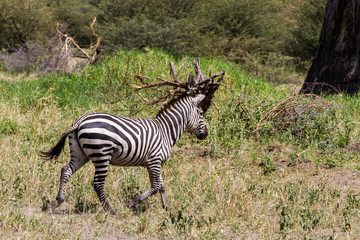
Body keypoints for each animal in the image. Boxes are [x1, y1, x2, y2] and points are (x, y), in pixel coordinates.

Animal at [38, 93, 208, 214]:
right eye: (201, 113)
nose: (206, 134)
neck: (165, 131)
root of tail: (81, 119)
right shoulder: (154, 160)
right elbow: (155, 186)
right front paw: (132, 202)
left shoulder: (156, 162)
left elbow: (162, 186)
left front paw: (166, 207)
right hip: (102, 154)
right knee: (97, 183)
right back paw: (110, 210)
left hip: (80, 155)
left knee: (66, 170)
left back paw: (57, 201)